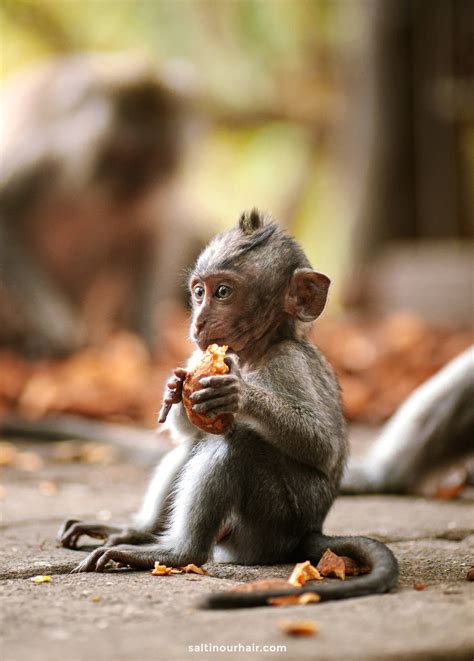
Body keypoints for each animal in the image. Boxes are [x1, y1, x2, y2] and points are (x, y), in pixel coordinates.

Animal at [60, 211, 400, 608]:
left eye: (223, 292)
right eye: (199, 292)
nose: (198, 322)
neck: (254, 353)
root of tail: (308, 532)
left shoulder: (289, 362)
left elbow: (323, 446)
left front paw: (239, 394)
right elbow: (189, 428)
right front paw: (174, 387)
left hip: (272, 522)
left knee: (236, 445)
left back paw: (177, 553)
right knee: (194, 446)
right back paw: (136, 533)